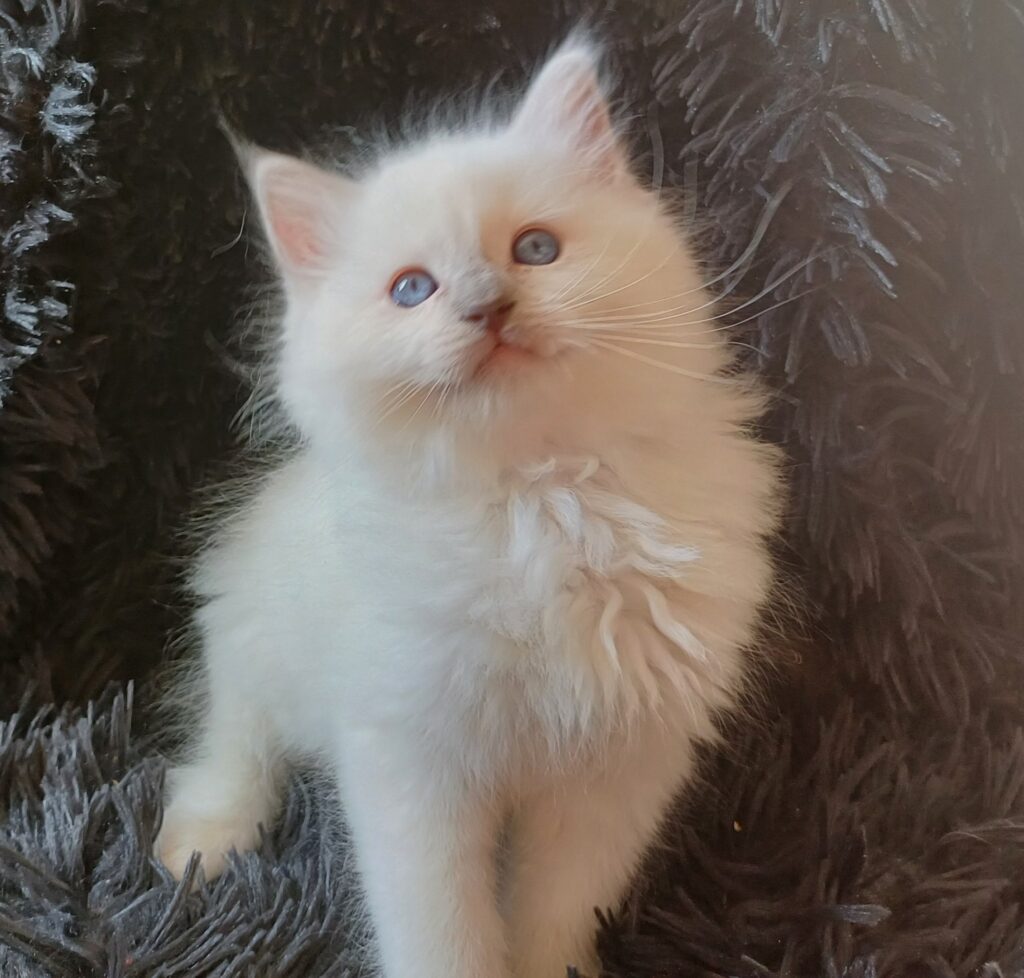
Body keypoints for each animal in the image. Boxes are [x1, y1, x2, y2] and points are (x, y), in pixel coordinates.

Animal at [155, 38, 783, 978]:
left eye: (536, 248)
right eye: (412, 290)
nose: (490, 305)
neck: (542, 496)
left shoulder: (619, 771)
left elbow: (554, 910)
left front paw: (554, 967)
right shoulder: (413, 764)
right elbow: (442, 930)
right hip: (251, 640)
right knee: (231, 741)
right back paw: (204, 843)